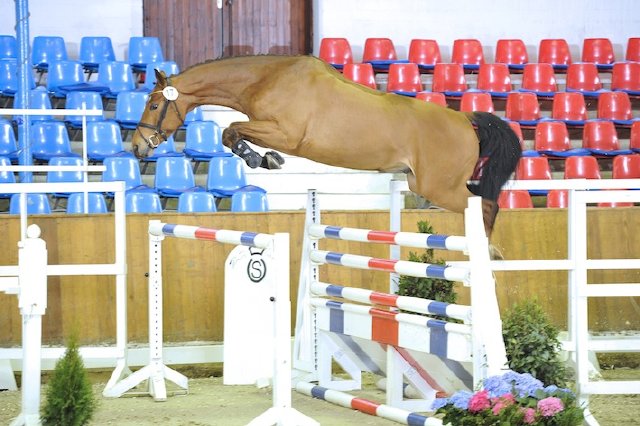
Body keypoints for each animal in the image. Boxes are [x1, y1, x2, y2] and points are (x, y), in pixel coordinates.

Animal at [132, 54, 524, 236]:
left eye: (153, 104)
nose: (138, 147)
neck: (266, 78)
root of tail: (466, 120)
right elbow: (232, 133)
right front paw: (263, 158)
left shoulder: (286, 134)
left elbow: (232, 131)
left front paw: (262, 159)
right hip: (425, 183)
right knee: (484, 204)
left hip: (440, 187)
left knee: (487, 206)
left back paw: (490, 254)